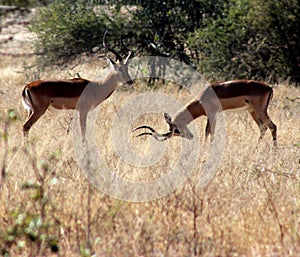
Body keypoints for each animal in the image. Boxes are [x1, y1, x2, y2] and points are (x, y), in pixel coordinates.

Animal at [135, 79, 278, 145]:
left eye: (176, 130)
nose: (190, 136)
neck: (201, 99)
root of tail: (269, 88)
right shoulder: (210, 115)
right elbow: (207, 131)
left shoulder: (213, 114)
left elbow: (210, 132)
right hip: (252, 111)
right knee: (263, 127)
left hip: (260, 110)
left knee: (272, 126)